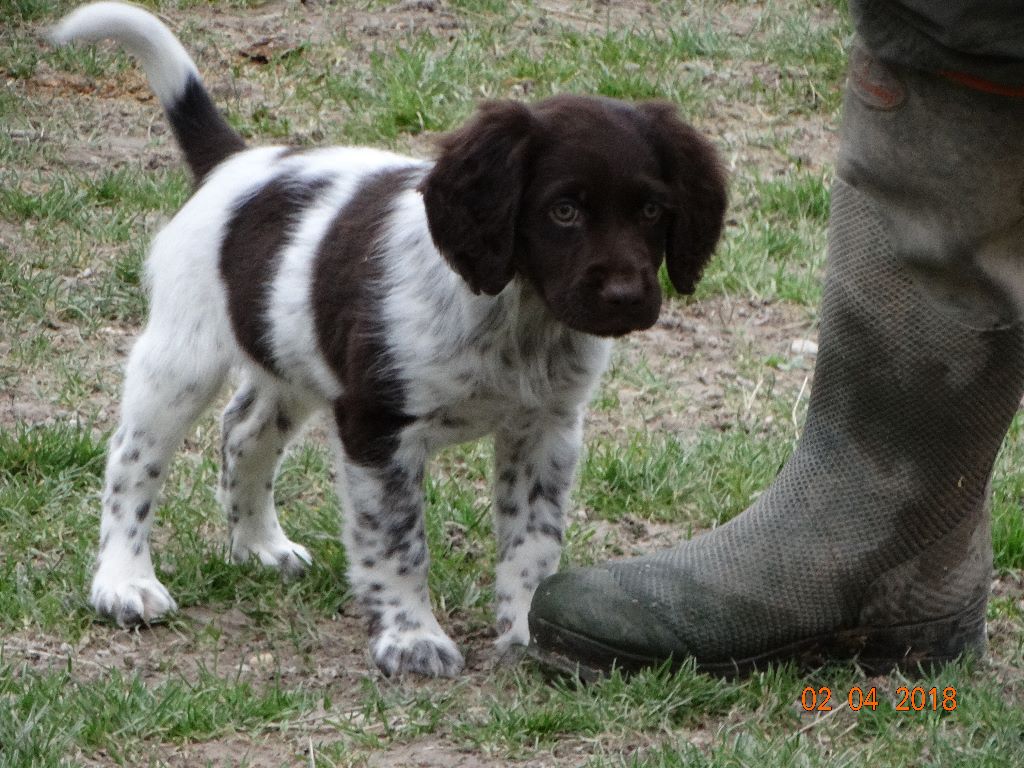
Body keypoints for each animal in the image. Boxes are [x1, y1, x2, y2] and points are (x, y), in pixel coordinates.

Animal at [51, 1, 729, 679]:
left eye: (651, 211)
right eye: (564, 211)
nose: (626, 297)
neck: (517, 314)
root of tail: (234, 164)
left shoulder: (546, 427)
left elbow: (533, 540)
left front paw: (529, 628)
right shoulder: (377, 424)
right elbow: (399, 542)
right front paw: (410, 638)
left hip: (292, 358)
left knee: (243, 431)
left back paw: (260, 545)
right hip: (182, 355)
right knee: (132, 462)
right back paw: (124, 582)